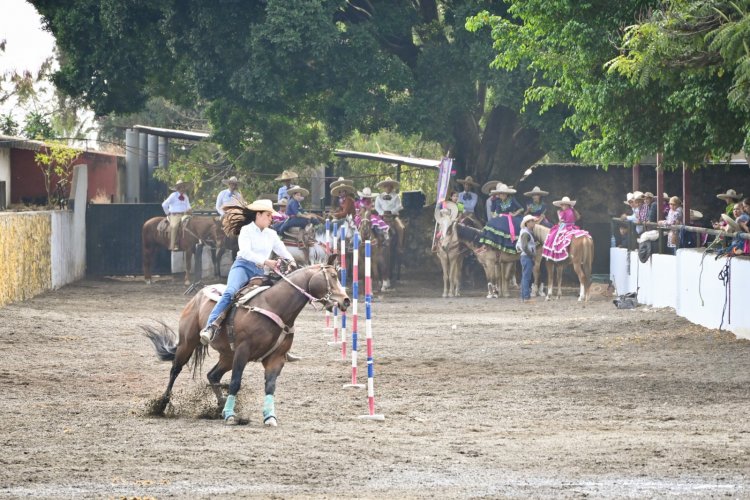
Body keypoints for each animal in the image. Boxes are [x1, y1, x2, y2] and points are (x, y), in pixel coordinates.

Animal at [144, 258, 350, 426]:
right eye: (333, 276)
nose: (346, 301)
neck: (274, 305)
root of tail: (199, 293)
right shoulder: (243, 351)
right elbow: (235, 382)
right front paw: (230, 415)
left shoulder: (276, 358)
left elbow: (270, 386)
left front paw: (269, 417)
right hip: (188, 343)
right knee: (175, 370)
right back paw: (161, 406)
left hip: (227, 355)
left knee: (213, 376)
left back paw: (220, 407)